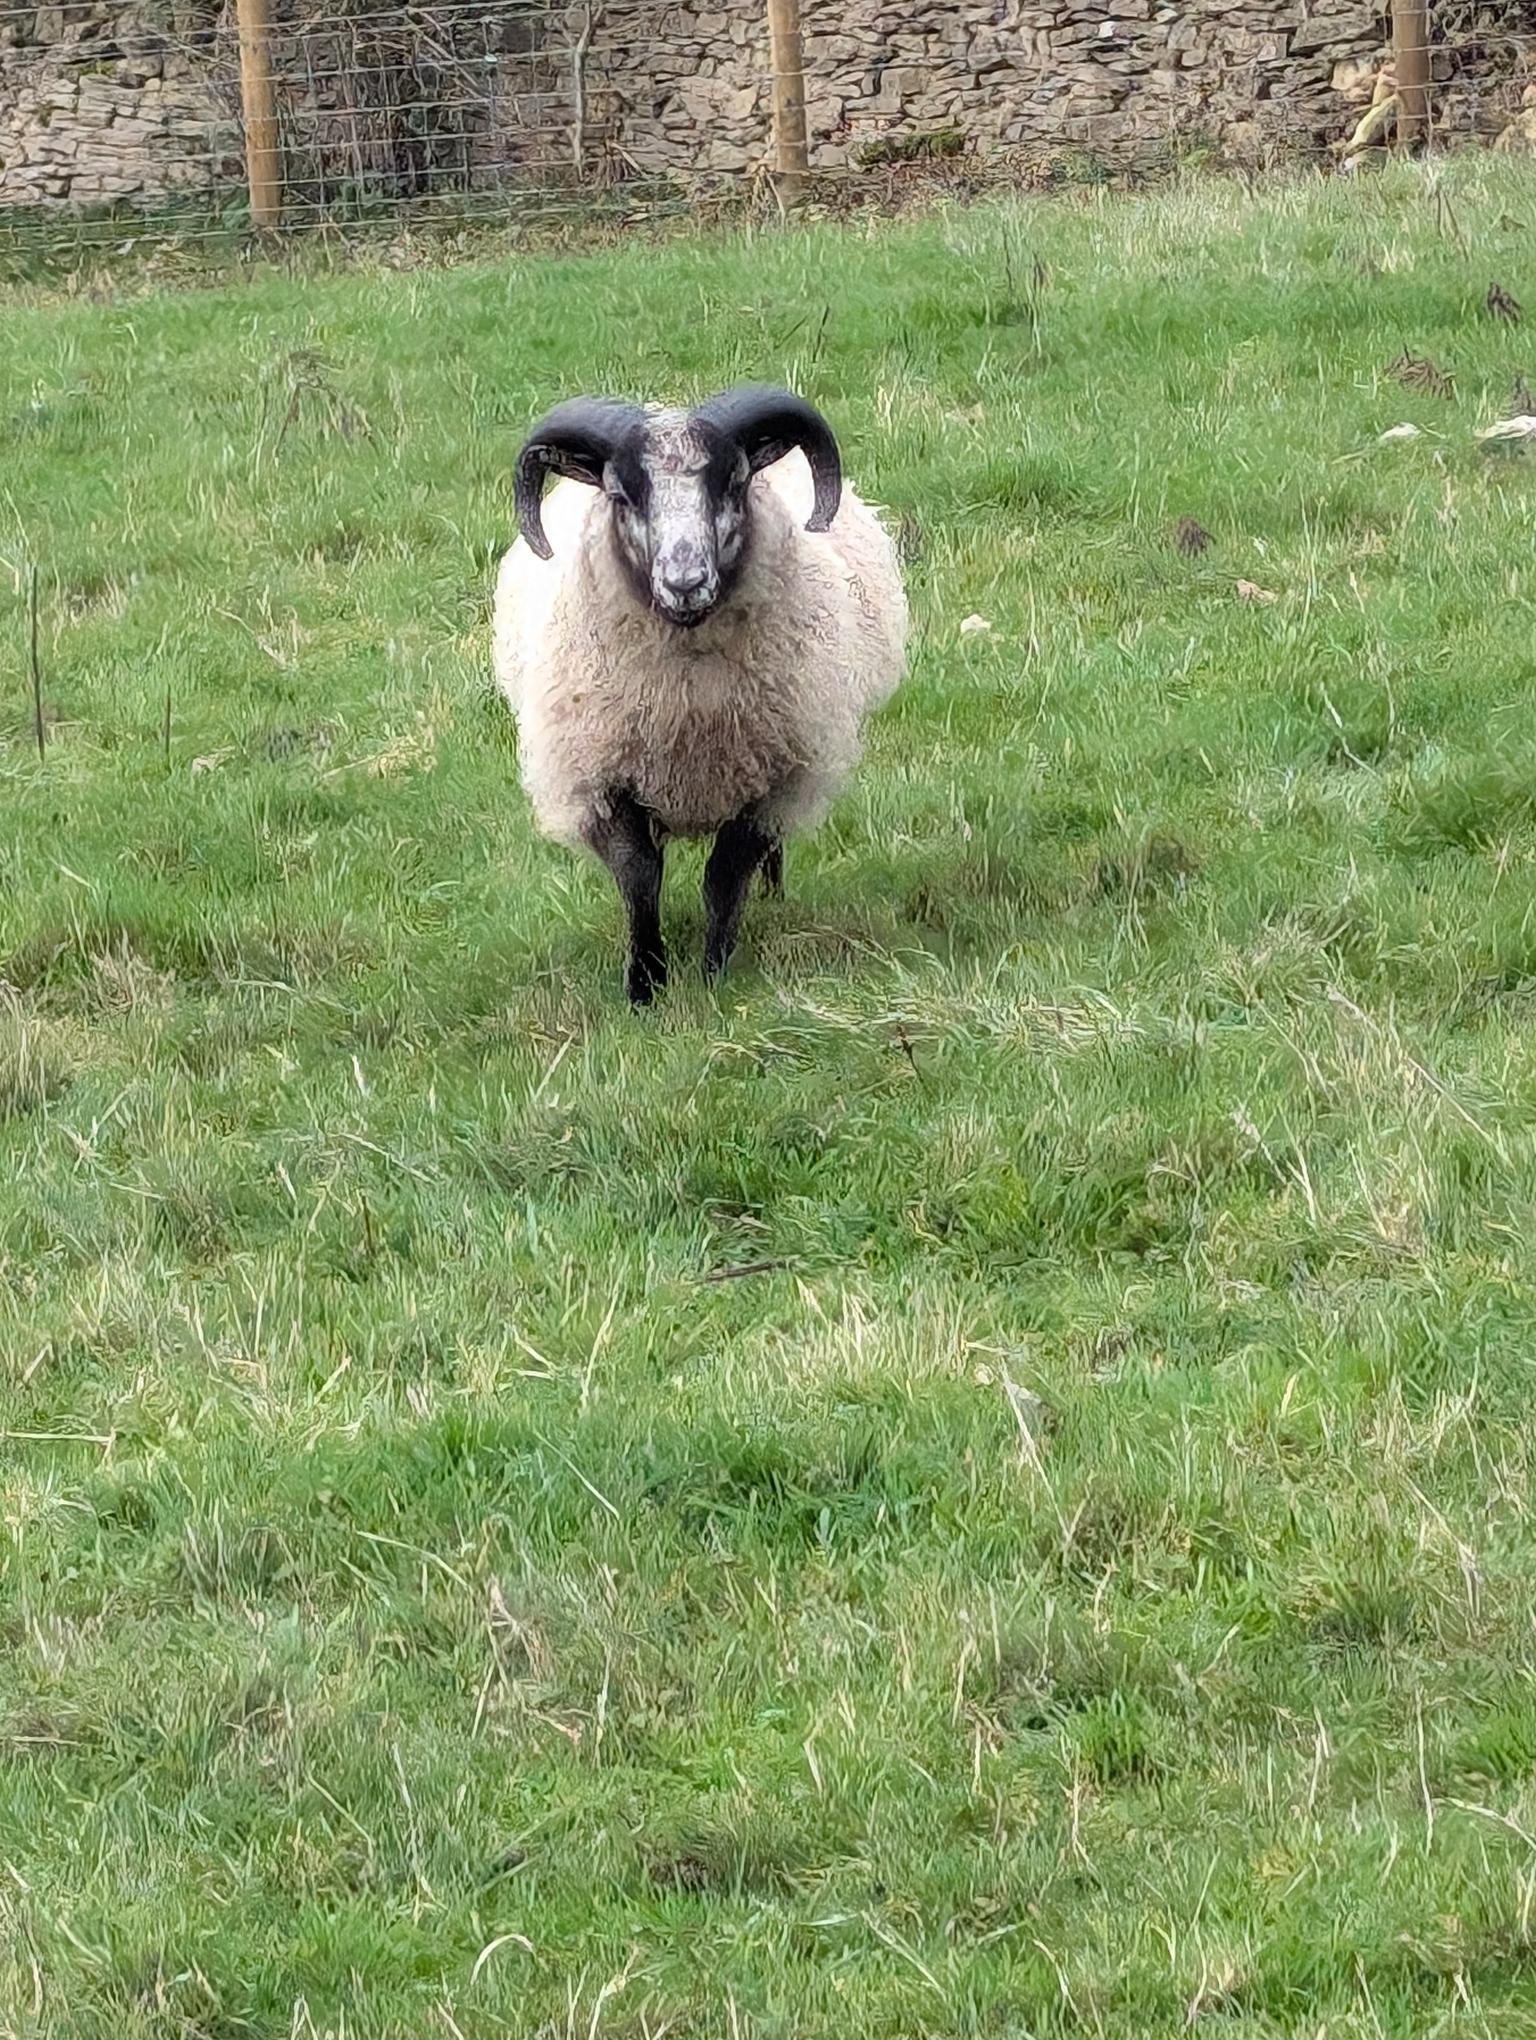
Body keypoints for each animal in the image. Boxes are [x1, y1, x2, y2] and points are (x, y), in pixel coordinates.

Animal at [493, 384, 907, 1004]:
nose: (684, 583)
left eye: (733, 481)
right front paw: (645, 984)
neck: (687, 704)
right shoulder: (604, 779)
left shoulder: (770, 781)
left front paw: (715, 975)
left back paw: (772, 899)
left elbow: (725, 875)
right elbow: (640, 878)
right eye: (620, 494)